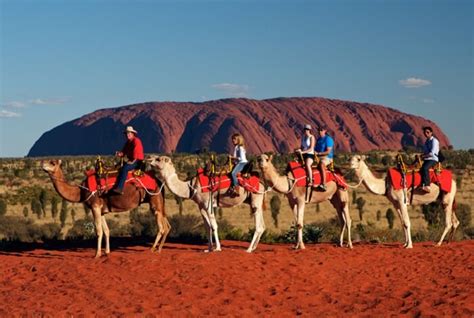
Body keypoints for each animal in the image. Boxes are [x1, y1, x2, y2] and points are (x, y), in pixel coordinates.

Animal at [41, 160, 169, 258]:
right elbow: (106, 230)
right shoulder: (101, 210)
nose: (43, 164)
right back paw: (159, 249)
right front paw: (107, 252)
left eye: (52, 163)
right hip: (159, 201)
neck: (80, 191)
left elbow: (98, 231)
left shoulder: (95, 206)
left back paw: (152, 249)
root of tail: (159, 182)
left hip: (154, 199)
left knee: (161, 227)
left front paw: (97, 254)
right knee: (166, 225)